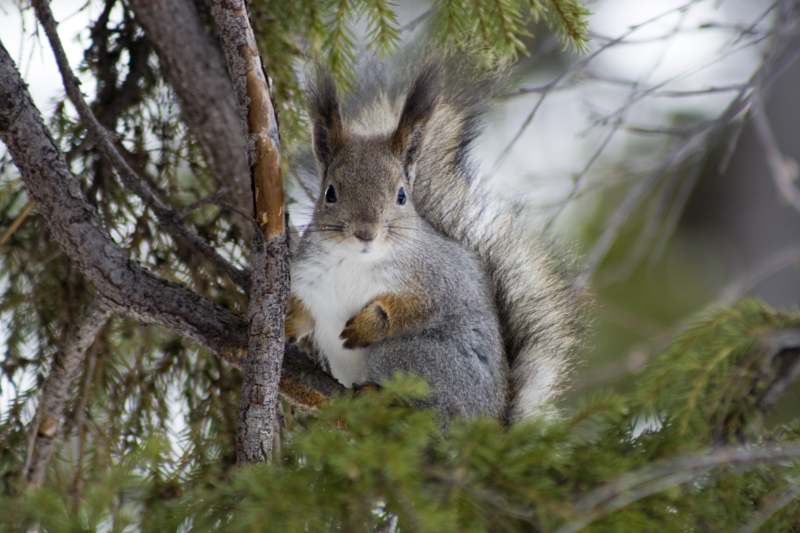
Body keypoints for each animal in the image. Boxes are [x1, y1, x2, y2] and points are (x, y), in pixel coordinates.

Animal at [288, 58, 580, 422]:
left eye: (401, 195)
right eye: (330, 193)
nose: (365, 232)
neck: (355, 260)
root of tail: (490, 422)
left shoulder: (436, 278)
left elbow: (422, 308)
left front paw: (370, 323)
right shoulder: (307, 279)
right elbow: (302, 312)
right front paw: (285, 324)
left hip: (411, 356)